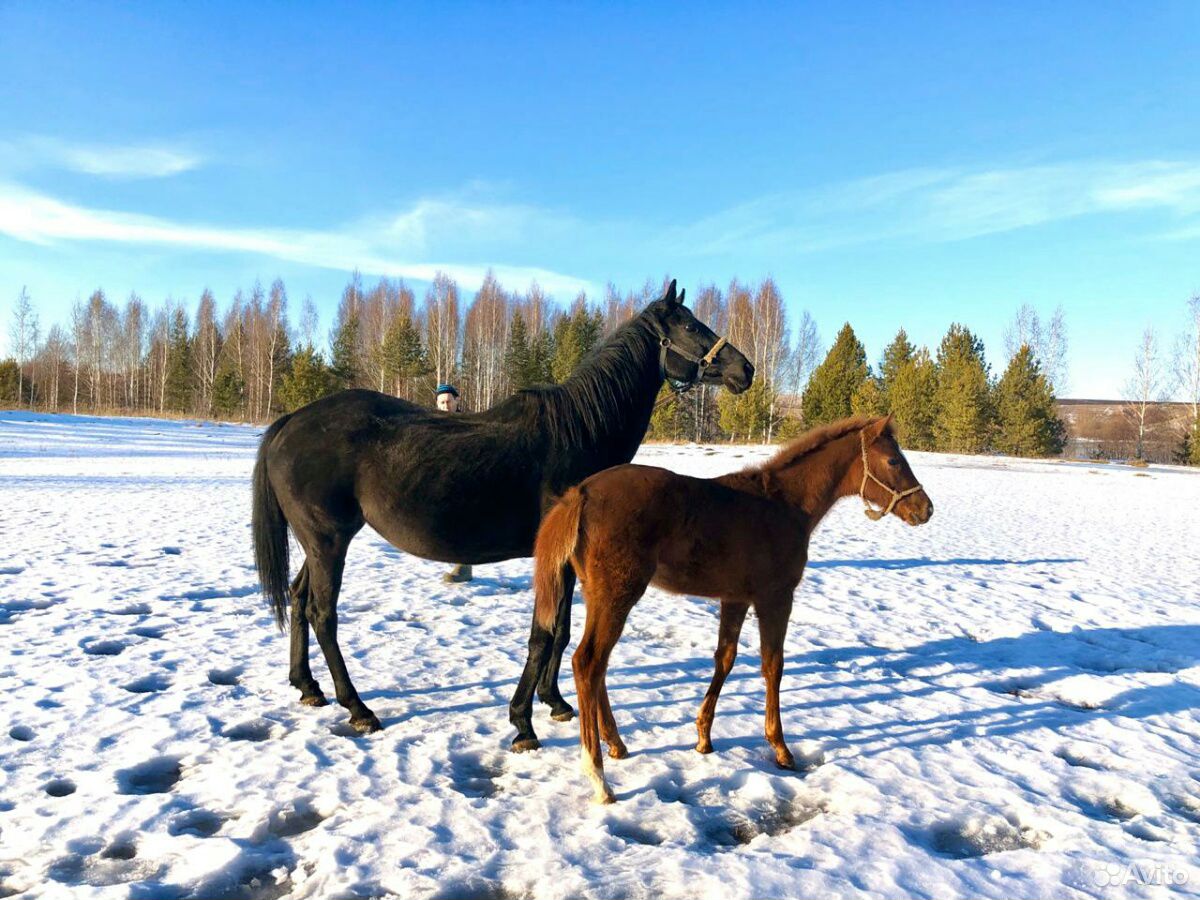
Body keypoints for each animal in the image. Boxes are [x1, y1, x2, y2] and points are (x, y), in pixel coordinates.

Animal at [252, 282, 748, 748]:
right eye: (690, 326)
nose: (745, 369)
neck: (578, 431)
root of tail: (291, 421)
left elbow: (561, 629)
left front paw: (554, 701)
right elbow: (543, 632)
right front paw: (522, 723)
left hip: (319, 543)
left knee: (298, 598)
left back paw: (308, 686)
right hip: (328, 541)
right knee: (322, 614)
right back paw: (358, 708)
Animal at [535, 415, 936, 801]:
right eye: (894, 461)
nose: (926, 509)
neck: (785, 505)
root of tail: (580, 493)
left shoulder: (736, 599)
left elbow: (724, 659)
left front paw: (703, 736)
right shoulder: (776, 598)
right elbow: (773, 666)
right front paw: (781, 748)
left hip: (600, 595)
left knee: (598, 665)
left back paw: (616, 744)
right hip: (618, 594)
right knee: (587, 662)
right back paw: (599, 778)